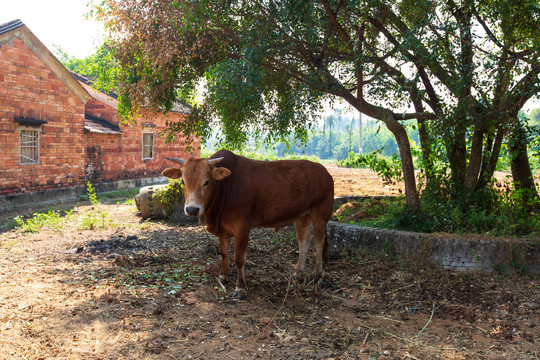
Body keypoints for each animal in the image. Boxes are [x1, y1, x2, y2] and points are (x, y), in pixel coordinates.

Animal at [162, 148, 336, 300]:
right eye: (183, 181)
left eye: (206, 182)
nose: (192, 209)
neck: (225, 187)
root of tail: (324, 171)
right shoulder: (223, 230)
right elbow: (224, 253)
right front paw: (223, 276)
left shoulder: (242, 228)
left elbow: (239, 258)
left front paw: (240, 288)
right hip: (301, 216)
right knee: (304, 240)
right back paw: (298, 272)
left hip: (320, 213)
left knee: (319, 241)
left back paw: (317, 272)